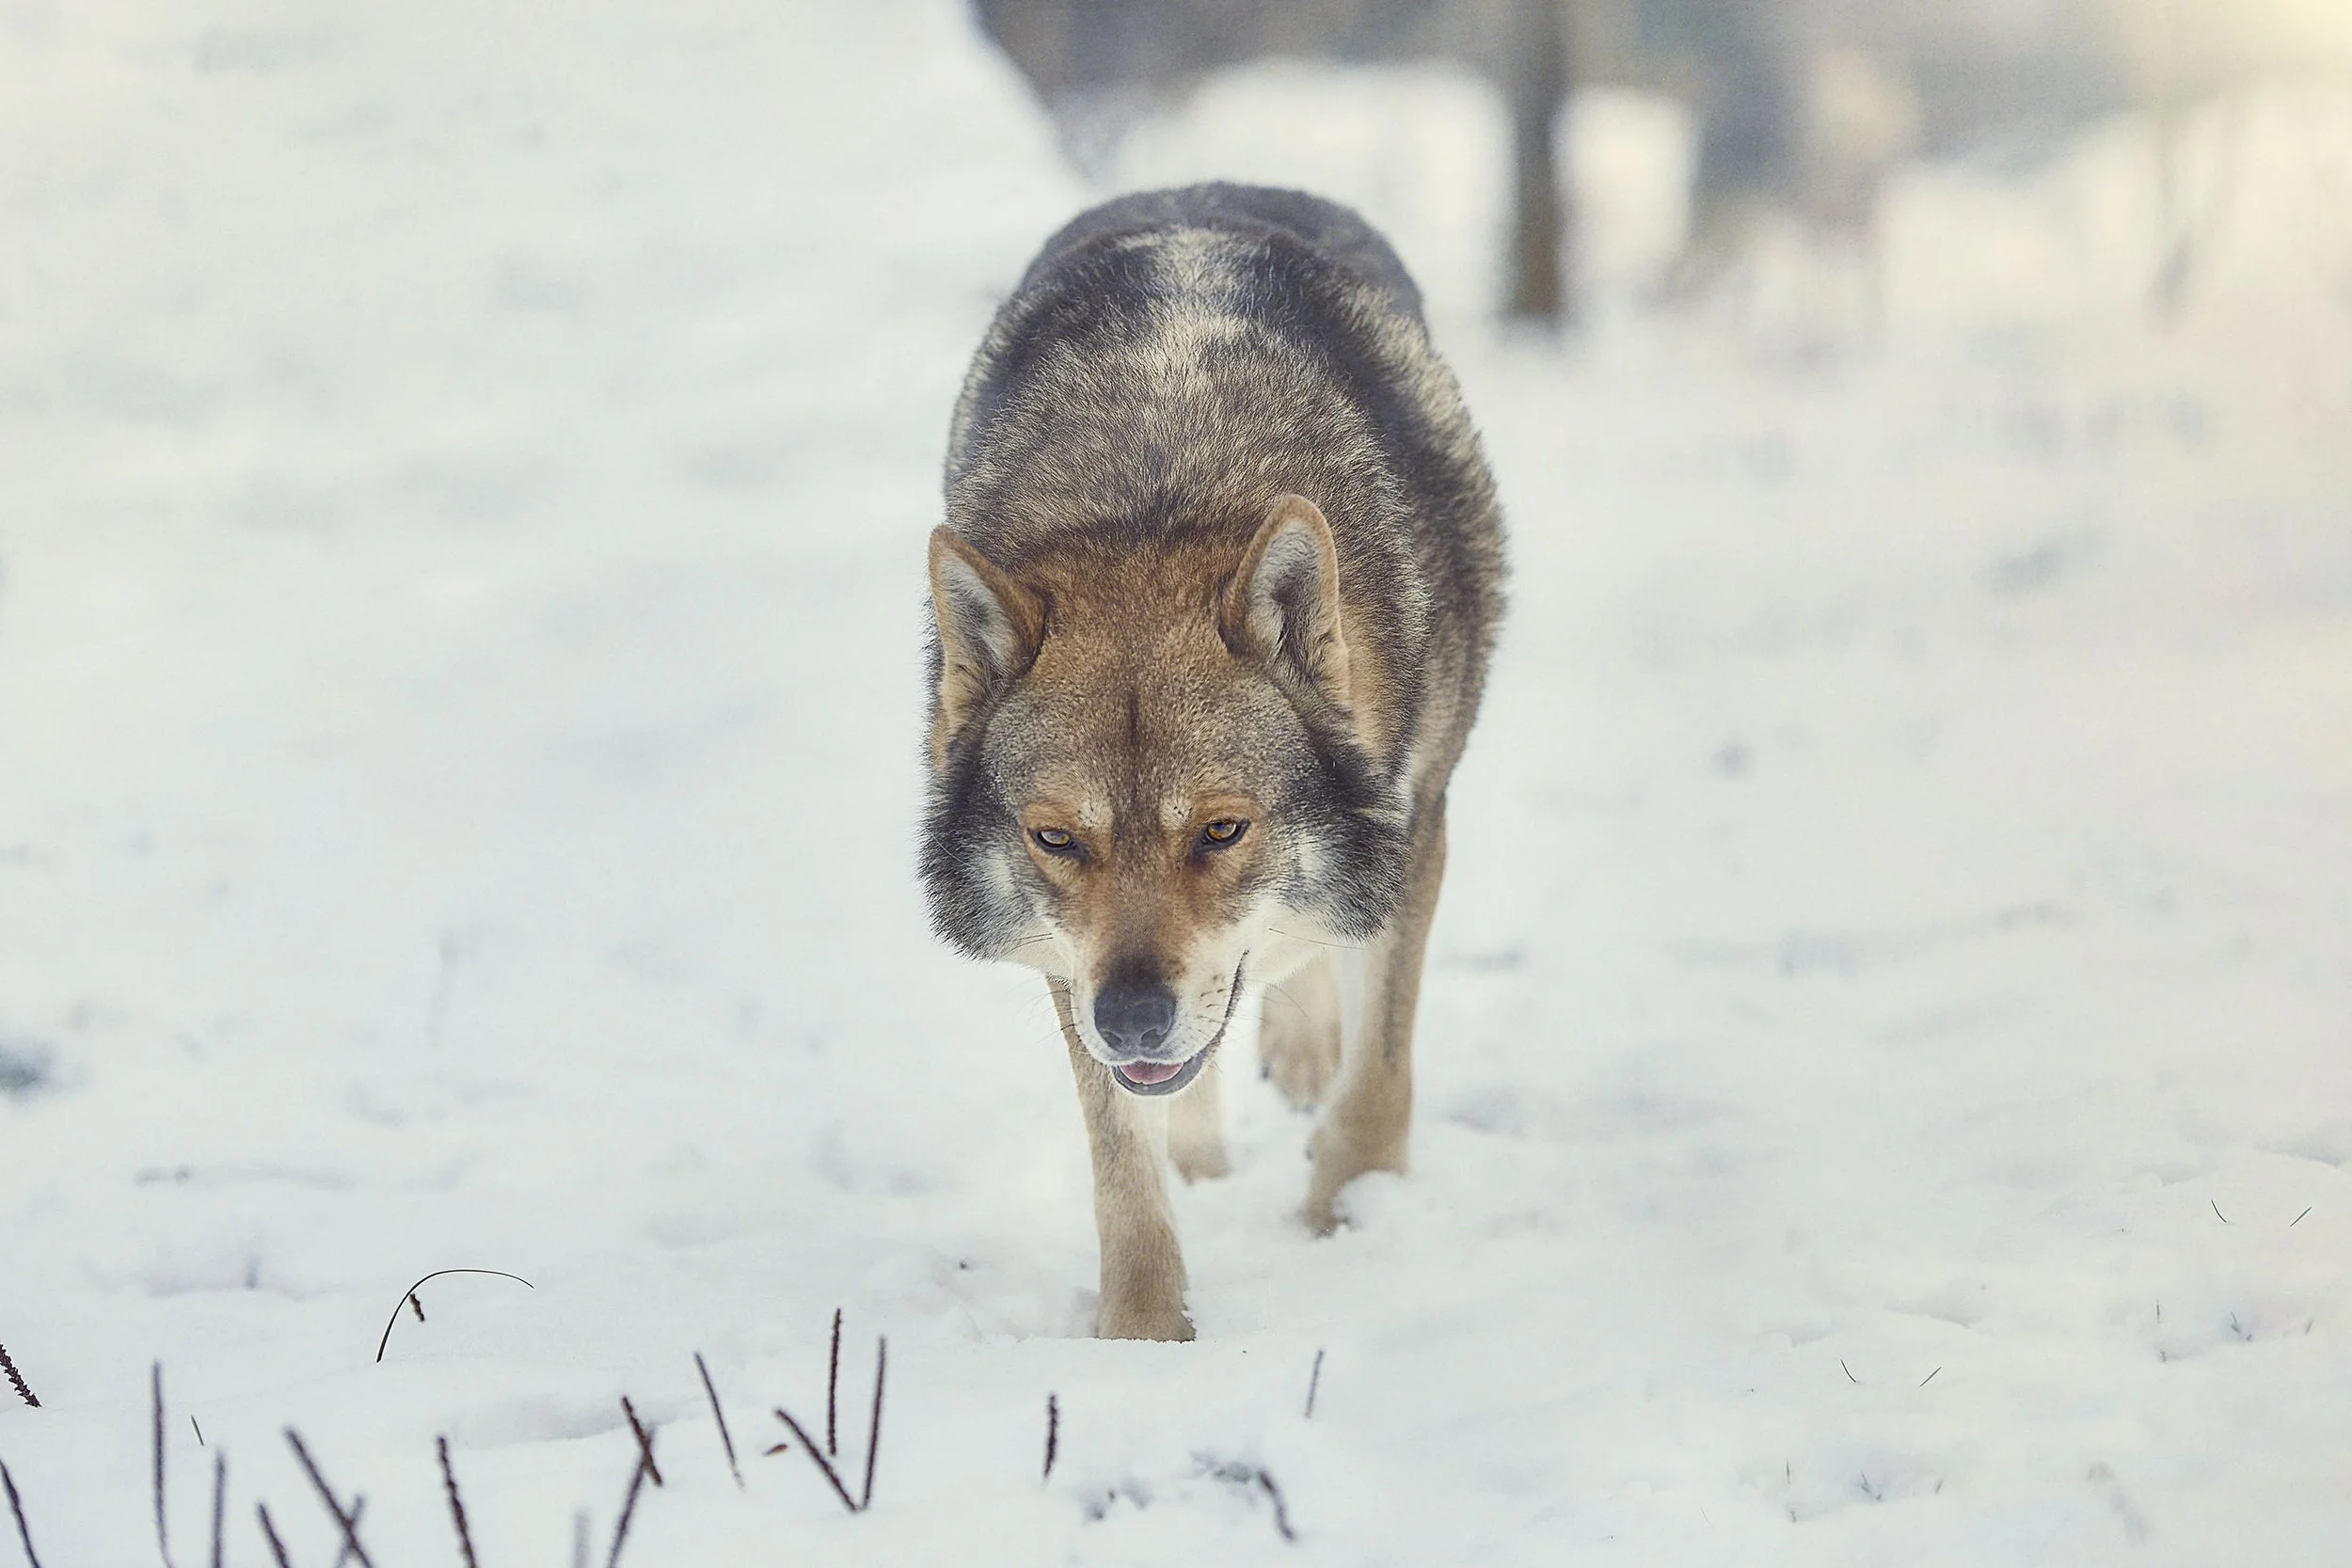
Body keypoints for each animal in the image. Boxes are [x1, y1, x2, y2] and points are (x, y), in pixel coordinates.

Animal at [921, 184, 1504, 1340]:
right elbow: (1124, 1175)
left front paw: (1348, 1231)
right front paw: (1143, 1338)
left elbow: (1378, 1087)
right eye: (1056, 839)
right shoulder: (1074, 965)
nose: (1131, 1017)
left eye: (1223, 830)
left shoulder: (1416, 829)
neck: (1163, 490)